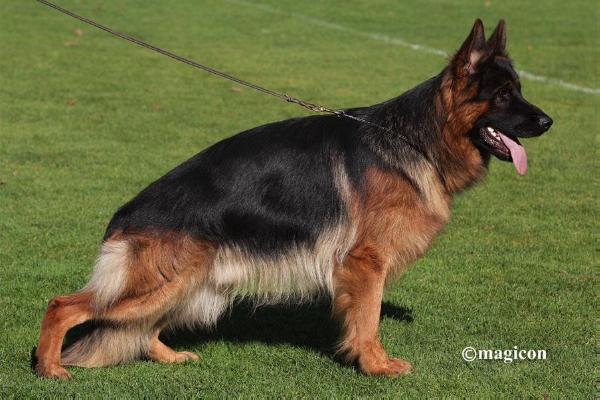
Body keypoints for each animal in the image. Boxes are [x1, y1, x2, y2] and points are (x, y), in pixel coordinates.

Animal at [35, 19, 552, 379]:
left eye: (520, 90)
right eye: (503, 95)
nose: (549, 122)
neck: (416, 139)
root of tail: (123, 216)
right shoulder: (365, 263)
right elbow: (368, 320)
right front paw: (377, 366)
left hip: (188, 283)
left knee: (143, 328)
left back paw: (167, 355)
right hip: (161, 281)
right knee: (63, 305)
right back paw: (50, 368)